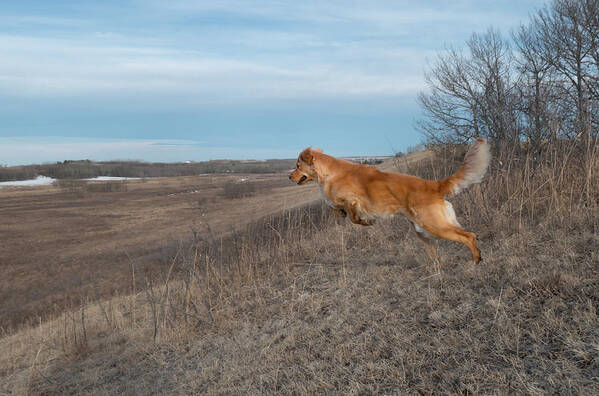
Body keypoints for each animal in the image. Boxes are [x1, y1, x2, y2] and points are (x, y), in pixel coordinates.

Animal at [290, 138, 492, 264]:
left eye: (298, 166)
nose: (289, 176)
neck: (330, 173)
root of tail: (434, 185)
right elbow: (334, 207)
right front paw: (339, 212)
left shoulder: (354, 200)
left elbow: (354, 216)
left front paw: (365, 221)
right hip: (421, 231)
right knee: (435, 252)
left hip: (434, 225)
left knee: (469, 236)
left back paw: (476, 260)